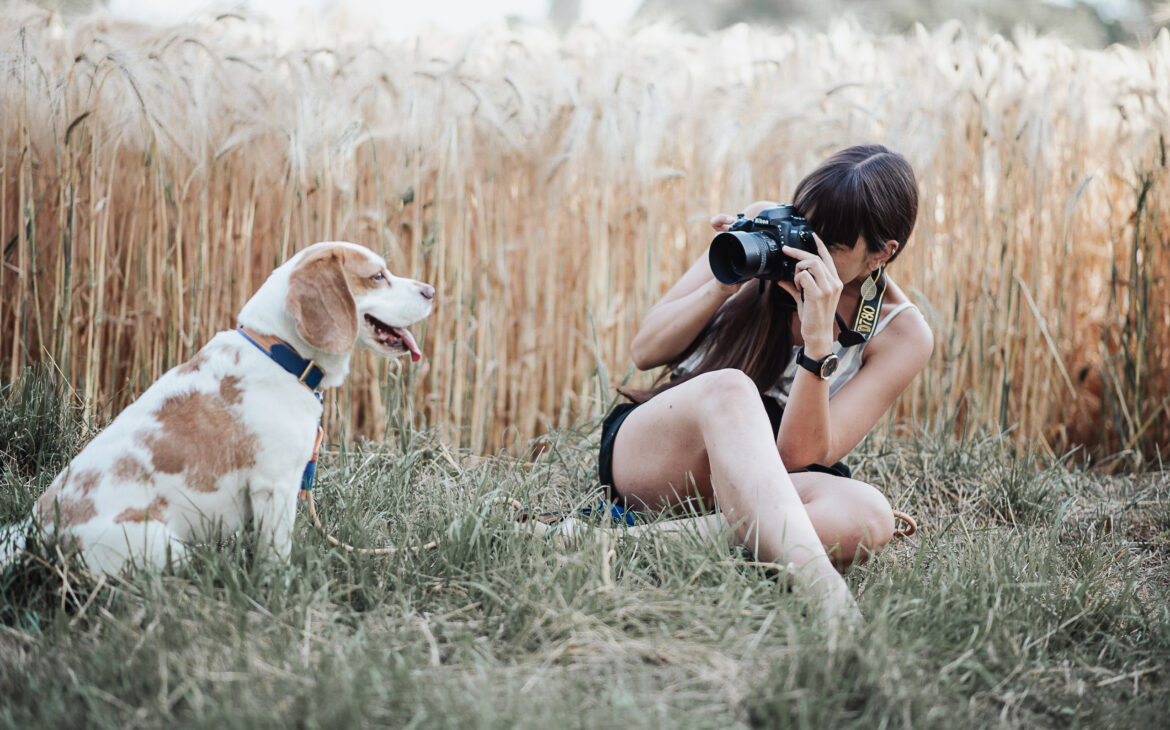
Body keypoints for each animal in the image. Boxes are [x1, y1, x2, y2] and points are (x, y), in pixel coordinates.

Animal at [16, 242, 435, 573]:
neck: (281, 354)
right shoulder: (275, 486)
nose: (431, 290)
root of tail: (36, 535)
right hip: (165, 547)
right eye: (378, 276)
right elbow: (276, 555)